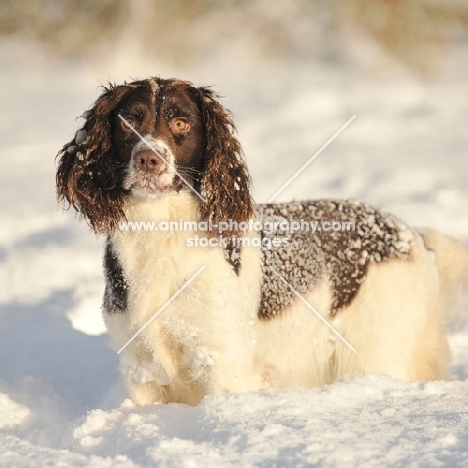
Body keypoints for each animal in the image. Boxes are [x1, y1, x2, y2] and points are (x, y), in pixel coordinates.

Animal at [57, 77, 468, 406]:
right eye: (128, 122)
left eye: (181, 122)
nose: (148, 159)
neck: (161, 232)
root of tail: (410, 233)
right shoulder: (141, 366)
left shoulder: (225, 362)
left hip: (377, 349)